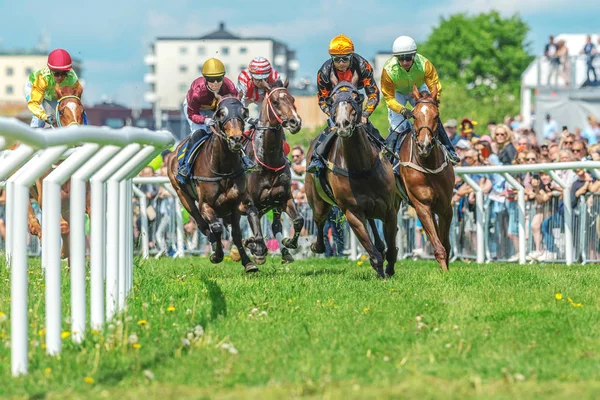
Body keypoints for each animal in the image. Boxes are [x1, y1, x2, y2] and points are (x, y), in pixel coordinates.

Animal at [165, 96, 266, 272]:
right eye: (221, 113)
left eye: (243, 113)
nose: (236, 139)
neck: (223, 167)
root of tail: (173, 153)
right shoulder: (205, 205)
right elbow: (216, 227)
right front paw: (217, 254)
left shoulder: (239, 202)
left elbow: (252, 214)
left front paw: (258, 249)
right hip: (182, 195)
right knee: (203, 225)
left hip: (229, 210)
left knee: (235, 234)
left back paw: (247, 262)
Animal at [241, 79, 302, 264]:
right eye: (275, 102)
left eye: (292, 99)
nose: (295, 122)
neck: (269, 160)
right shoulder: (251, 202)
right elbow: (256, 229)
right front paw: (256, 249)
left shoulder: (283, 197)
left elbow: (298, 220)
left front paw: (289, 243)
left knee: (275, 225)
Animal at [308, 72, 400, 278]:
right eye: (332, 99)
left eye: (356, 98)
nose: (342, 125)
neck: (361, 167)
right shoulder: (352, 213)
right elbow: (373, 253)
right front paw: (381, 273)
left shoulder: (390, 209)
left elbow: (391, 247)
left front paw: (390, 269)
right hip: (318, 202)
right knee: (319, 220)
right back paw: (317, 246)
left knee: (373, 223)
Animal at [398, 85, 454, 270]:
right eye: (414, 115)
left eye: (436, 116)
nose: (424, 145)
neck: (429, 165)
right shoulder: (422, 206)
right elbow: (439, 246)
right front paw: (444, 270)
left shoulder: (445, 206)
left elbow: (445, 244)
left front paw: (447, 271)